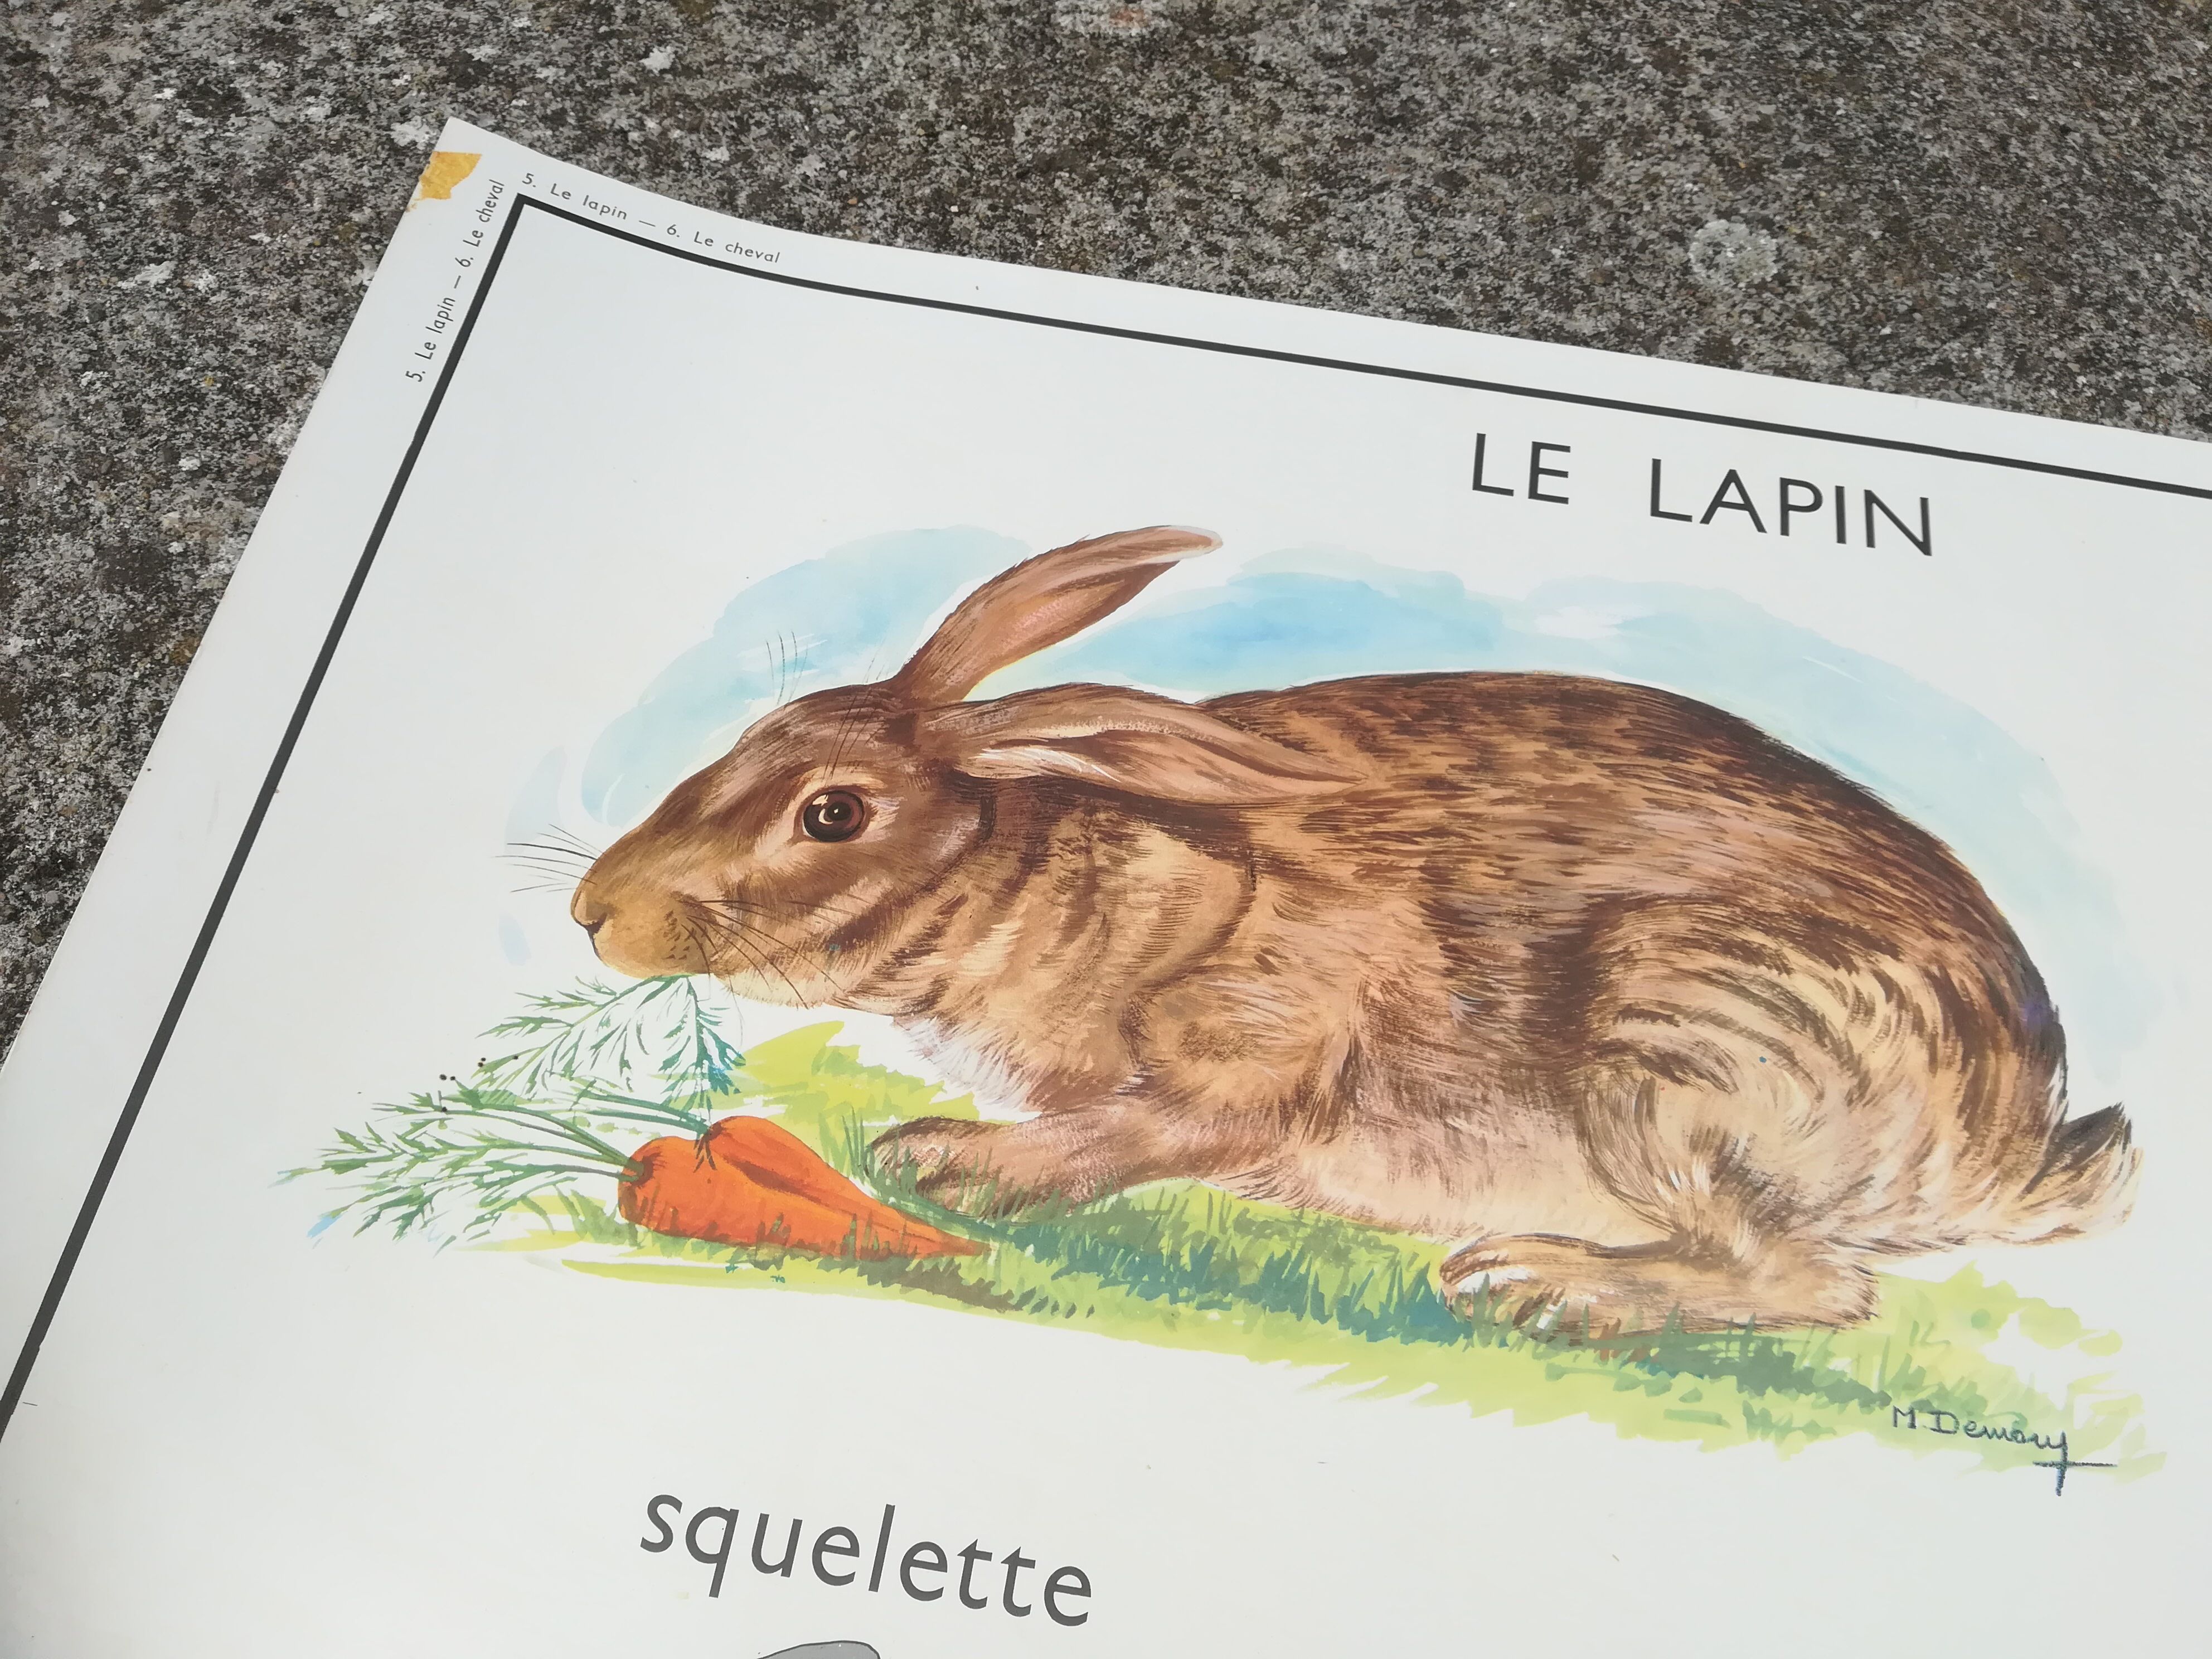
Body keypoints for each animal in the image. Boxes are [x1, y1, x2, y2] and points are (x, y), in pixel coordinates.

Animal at [572, 526, 2140, 1331]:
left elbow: (1165, 1127)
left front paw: (946, 1160)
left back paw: (1536, 1286)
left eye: (832, 813)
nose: (596, 914)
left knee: (1812, 1282)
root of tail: (1999, 1146)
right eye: (755, 738)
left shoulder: (1267, 1035)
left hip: (1681, 1045)